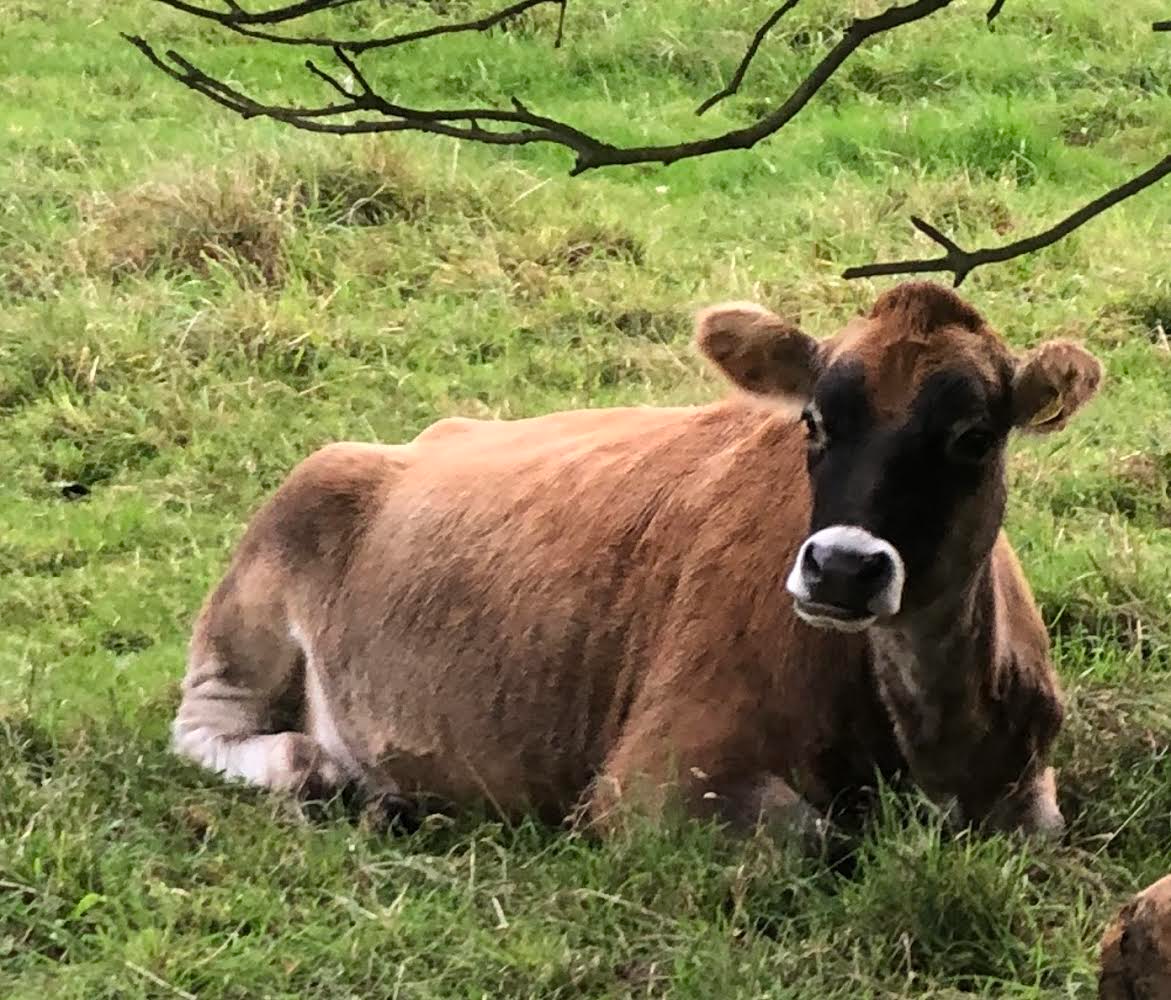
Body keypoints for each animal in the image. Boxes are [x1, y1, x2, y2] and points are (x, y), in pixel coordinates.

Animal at [170, 282, 1096, 847]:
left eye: (972, 437)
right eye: (813, 422)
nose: (840, 567)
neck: (927, 737)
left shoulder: (1025, 787)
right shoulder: (652, 782)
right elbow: (803, 835)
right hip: (257, 598)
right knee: (211, 729)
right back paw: (326, 769)